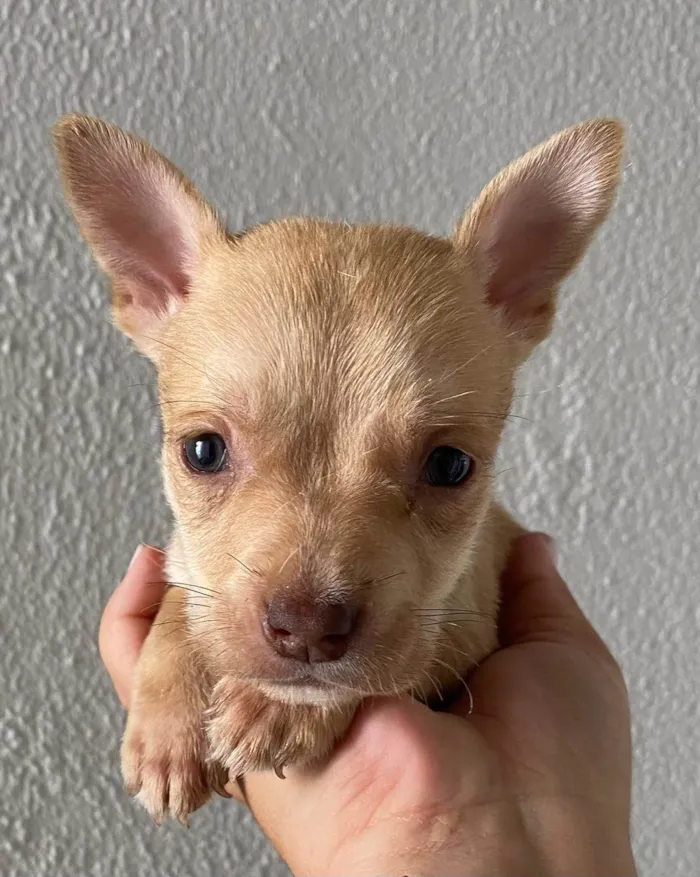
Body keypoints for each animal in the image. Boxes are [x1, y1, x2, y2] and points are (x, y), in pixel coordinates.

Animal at [54, 114, 624, 820]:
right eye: (202, 451)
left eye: (451, 466)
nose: (307, 629)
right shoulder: (189, 562)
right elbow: (186, 606)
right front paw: (169, 727)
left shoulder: (464, 625)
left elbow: (397, 666)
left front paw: (277, 708)